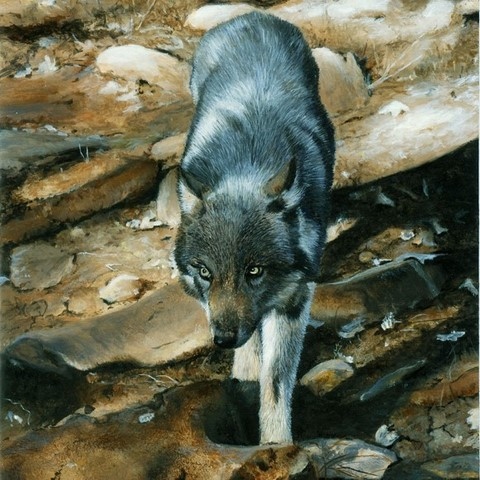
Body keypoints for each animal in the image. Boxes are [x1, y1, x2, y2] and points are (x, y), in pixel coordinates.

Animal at [174, 11, 336, 444]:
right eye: (205, 273)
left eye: (255, 271)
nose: (222, 340)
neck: (246, 166)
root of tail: (251, 15)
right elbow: (252, 356)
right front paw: (244, 378)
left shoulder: (294, 298)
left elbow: (277, 380)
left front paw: (277, 444)